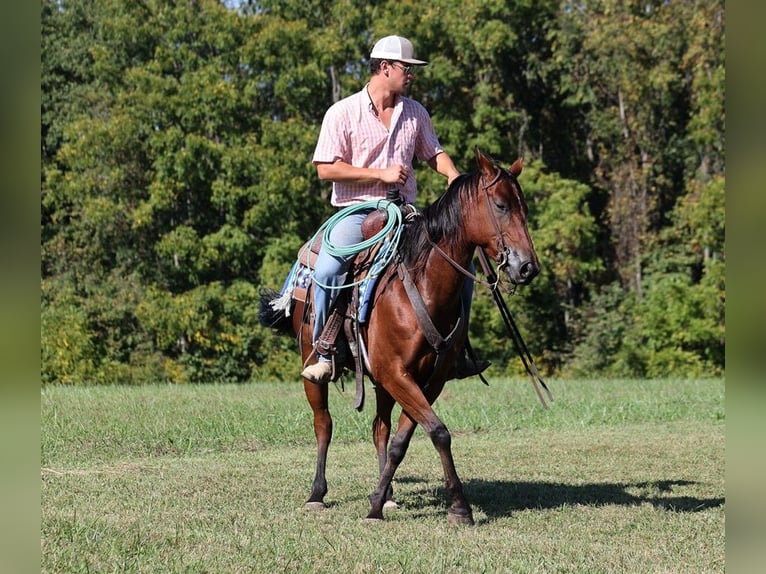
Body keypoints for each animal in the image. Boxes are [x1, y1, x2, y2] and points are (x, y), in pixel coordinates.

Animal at [260, 148, 544, 528]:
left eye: (523, 207)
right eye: (500, 205)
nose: (527, 267)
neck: (421, 287)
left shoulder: (425, 380)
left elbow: (402, 439)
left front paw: (382, 500)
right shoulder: (397, 374)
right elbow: (438, 431)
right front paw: (457, 505)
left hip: (381, 382)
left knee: (379, 428)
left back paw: (389, 492)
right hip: (314, 364)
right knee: (324, 424)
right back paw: (316, 494)